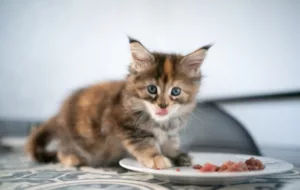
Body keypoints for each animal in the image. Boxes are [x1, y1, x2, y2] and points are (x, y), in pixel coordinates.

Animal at [25, 37, 212, 168]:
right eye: (152, 89)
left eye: (175, 91)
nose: (163, 105)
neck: (161, 123)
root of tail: (59, 115)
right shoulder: (126, 126)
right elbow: (146, 144)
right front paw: (157, 158)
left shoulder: (171, 133)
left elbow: (170, 143)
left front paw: (176, 155)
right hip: (75, 137)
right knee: (63, 150)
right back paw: (72, 158)